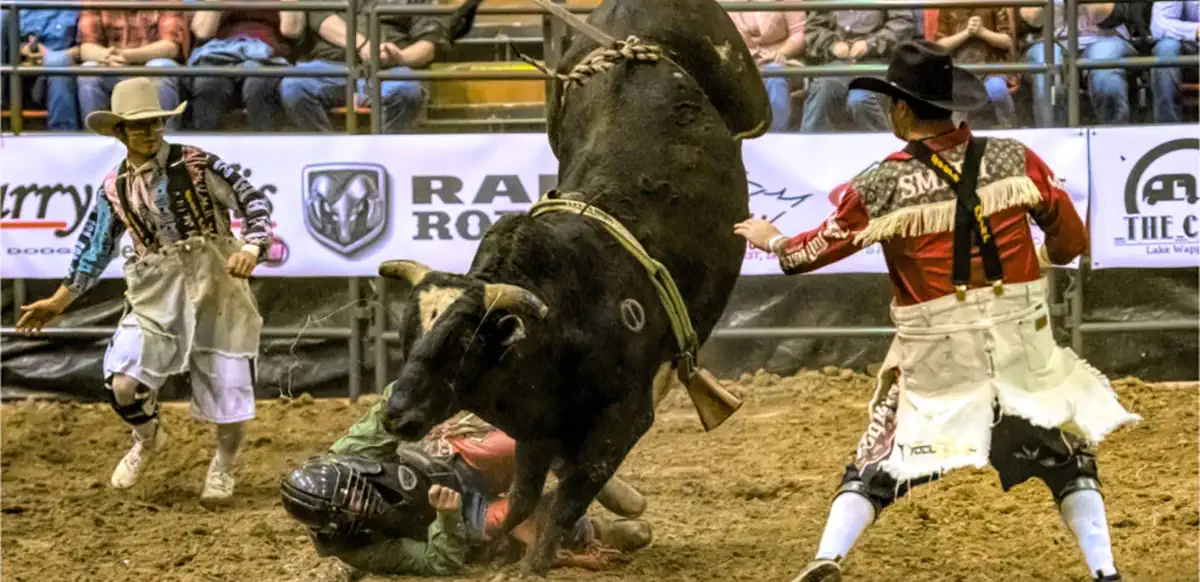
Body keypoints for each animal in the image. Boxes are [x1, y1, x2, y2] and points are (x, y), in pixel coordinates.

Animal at [376, 0, 768, 573]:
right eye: (408, 337)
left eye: (461, 342)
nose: (395, 412)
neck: (560, 324)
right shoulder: (538, 427)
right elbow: (523, 497)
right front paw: (492, 551)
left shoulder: (623, 419)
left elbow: (567, 497)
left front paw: (534, 564)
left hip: (747, 97)